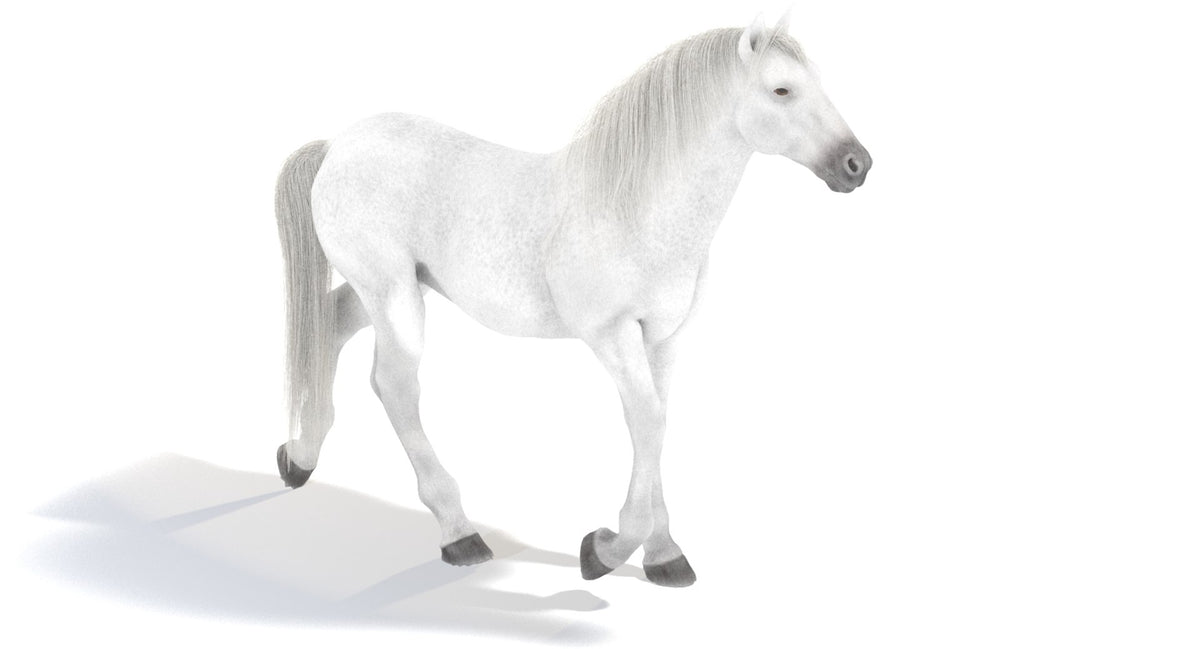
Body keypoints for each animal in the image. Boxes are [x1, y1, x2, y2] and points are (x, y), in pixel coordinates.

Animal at [273, 14, 871, 588]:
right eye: (781, 90)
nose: (857, 165)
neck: (638, 209)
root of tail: (338, 145)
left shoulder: (665, 339)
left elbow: (657, 425)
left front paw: (663, 555)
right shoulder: (611, 334)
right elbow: (645, 423)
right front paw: (605, 550)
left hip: (392, 288)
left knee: (329, 326)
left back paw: (299, 458)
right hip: (393, 292)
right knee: (395, 385)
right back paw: (459, 533)